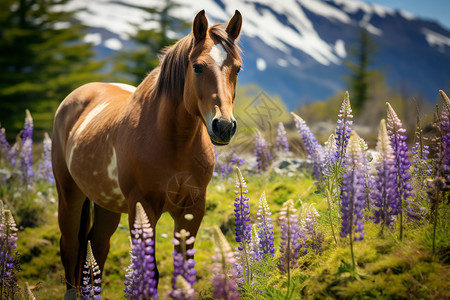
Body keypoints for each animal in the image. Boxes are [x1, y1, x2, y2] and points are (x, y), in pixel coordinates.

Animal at [51, 9, 243, 298]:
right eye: (197, 67)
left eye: (238, 68)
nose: (223, 126)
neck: (174, 143)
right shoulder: (142, 208)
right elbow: (151, 272)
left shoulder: (192, 208)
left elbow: (183, 268)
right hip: (69, 194)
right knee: (72, 247)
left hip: (106, 204)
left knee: (97, 247)